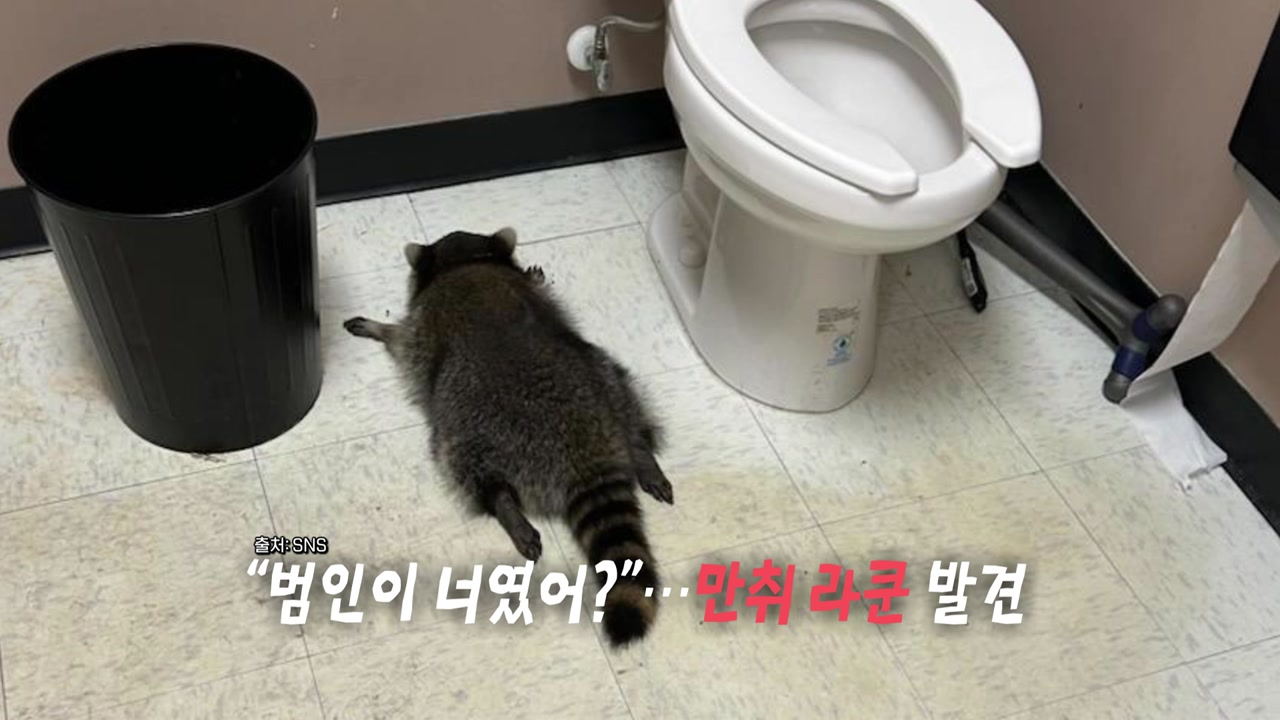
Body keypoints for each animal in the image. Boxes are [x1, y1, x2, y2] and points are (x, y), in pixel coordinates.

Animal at [342, 227, 674, 646]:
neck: (467, 261)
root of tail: (585, 447)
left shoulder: (423, 326)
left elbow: (402, 340)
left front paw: (379, 328)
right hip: (606, 377)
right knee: (626, 399)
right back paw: (641, 452)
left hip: (472, 427)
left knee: (465, 464)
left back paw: (504, 504)